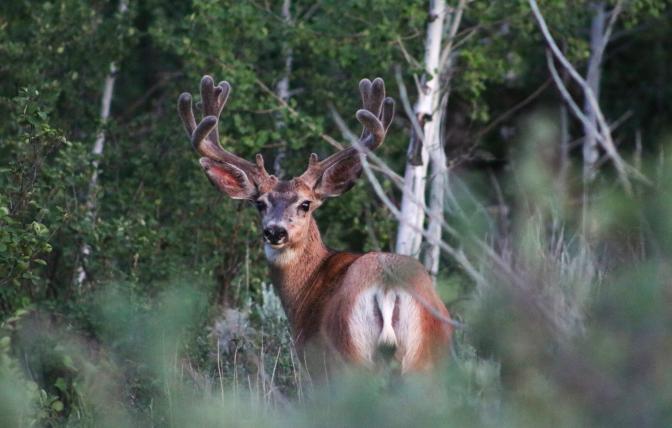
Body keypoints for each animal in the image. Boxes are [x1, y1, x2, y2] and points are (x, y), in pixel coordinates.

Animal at [178, 75, 452, 375]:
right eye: (260, 203)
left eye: (305, 204)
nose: (275, 231)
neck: (306, 287)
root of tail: (388, 289)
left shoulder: (313, 361)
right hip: (426, 358)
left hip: (347, 354)